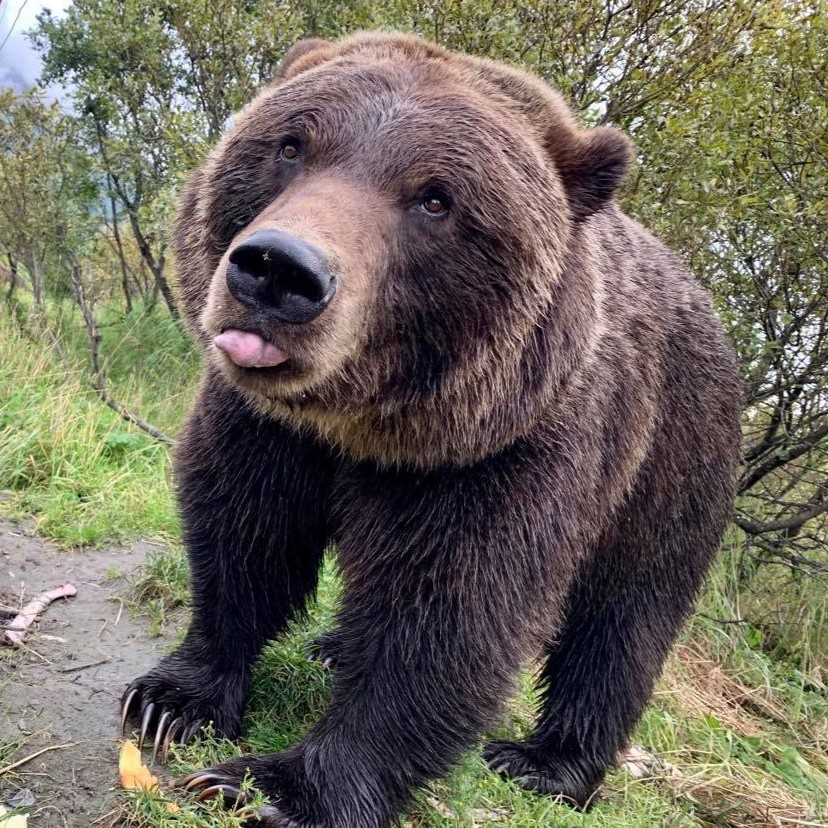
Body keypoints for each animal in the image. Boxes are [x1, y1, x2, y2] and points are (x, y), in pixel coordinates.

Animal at [121, 32, 744, 828]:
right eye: (291, 145)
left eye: (437, 198)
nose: (278, 269)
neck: (359, 425)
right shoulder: (268, 429)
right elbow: (243, 533)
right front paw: (172, 699)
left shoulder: (501, 455)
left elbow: (447, 619)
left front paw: (275, 787)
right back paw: (331, 647)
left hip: (672, 467)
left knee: (623, 622)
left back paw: (546, 762)